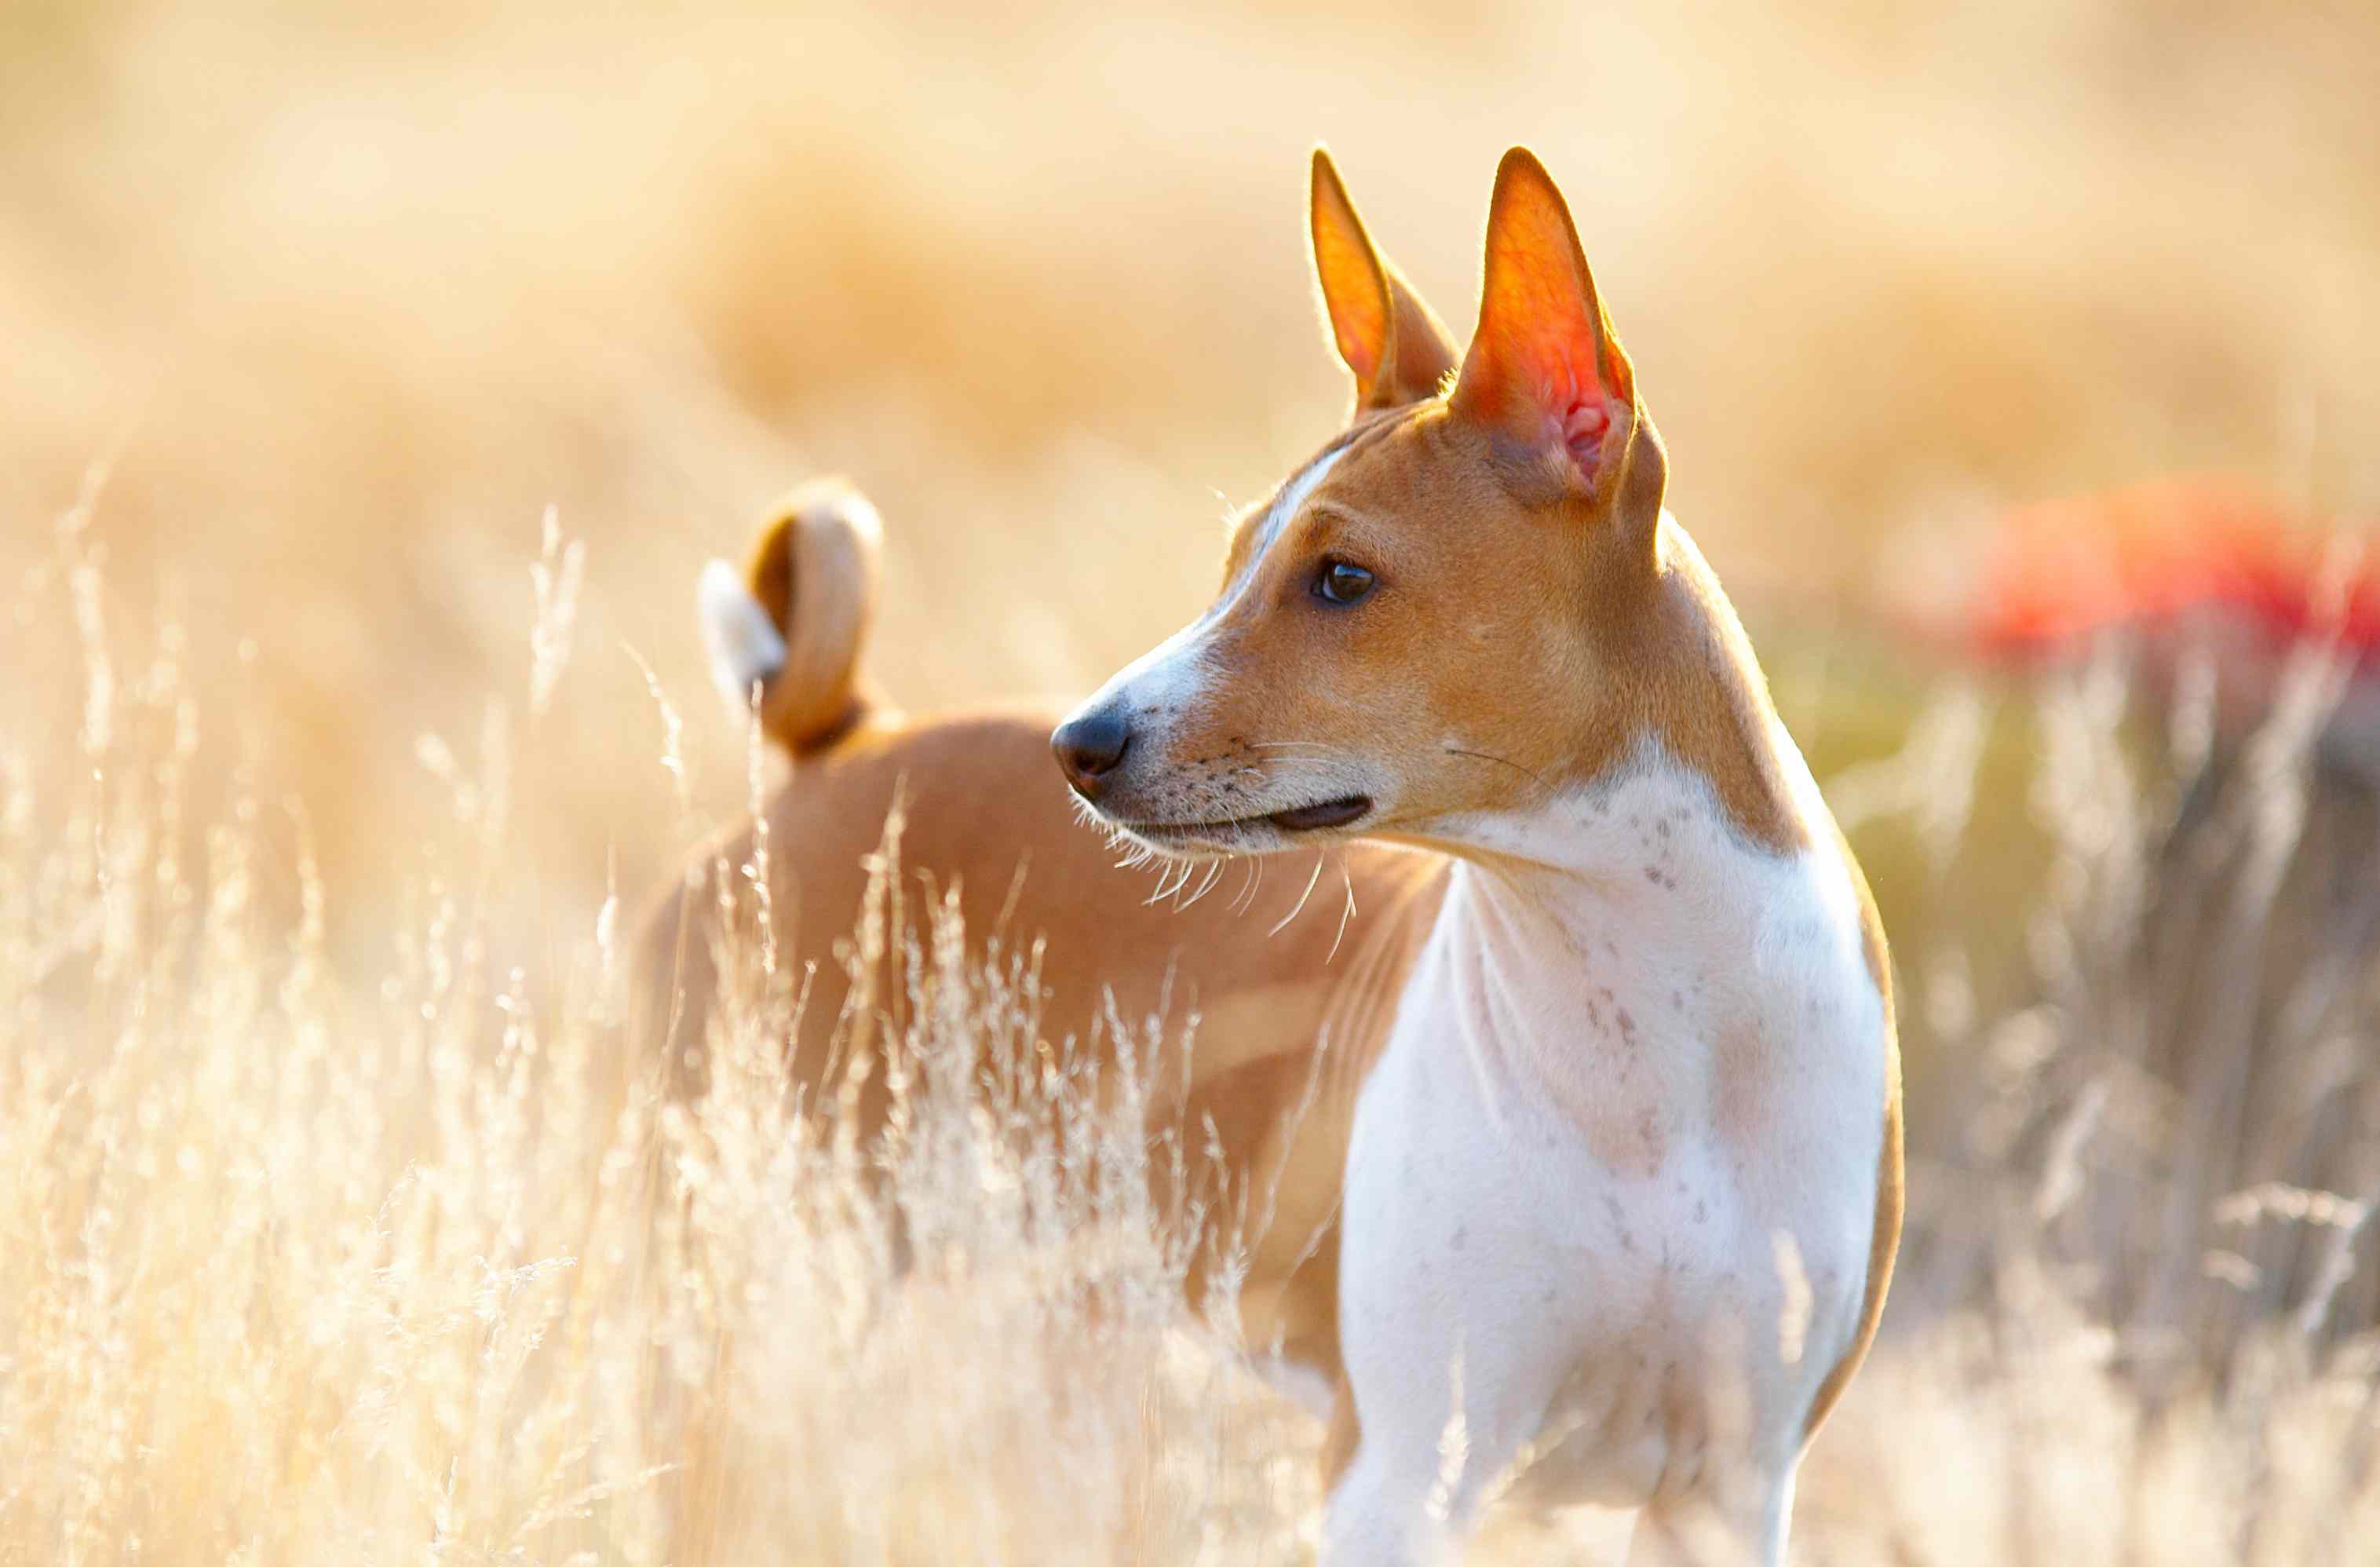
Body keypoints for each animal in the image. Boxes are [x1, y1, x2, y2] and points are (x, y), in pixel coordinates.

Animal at [647, 146, 1894, 1562]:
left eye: (1342, 579)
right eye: (1238, 555)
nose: (1079, 743)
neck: (1647, 1039)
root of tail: (842, 742)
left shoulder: (1727, 1488)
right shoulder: (1399, 1472)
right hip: (753, 1276)